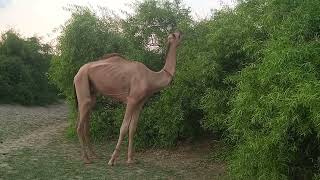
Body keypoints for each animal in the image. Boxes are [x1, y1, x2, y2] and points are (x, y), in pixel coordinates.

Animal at [73, 31, 181, 165]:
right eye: (177, 35)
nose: (182, 32)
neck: (151, 77)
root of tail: (77, 73)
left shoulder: (140, 102)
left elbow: (133, 128)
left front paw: (131, 159)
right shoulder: (132, 100)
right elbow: (123, 127)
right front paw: (112, 160)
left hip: (91, 93)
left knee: (86, 123)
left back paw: (94, 155)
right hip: (82, 82)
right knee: (79, 126)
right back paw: (86, 159)